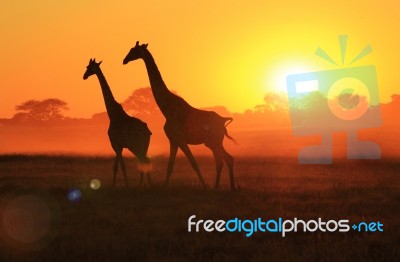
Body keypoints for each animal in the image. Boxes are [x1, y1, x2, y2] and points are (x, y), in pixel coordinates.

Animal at [83, 58, 152, 187]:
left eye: (89, 67)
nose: (84, 76)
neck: (113, 115)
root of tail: (147, 131)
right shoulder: (117, 145)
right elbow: (115, 166)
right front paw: (115, 185)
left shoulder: (116, 144)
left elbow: (121, 166)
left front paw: (125, 185)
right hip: (142, 145)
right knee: (145, 161)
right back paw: (145, 184)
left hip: (136, 145)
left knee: (144, 160)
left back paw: (145, 185)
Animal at [122, 41, 234, 189]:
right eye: (130, 50)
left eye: (134, 51)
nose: (124, 60)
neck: (167, 109)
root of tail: (223, 120)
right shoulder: (173, 140)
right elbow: (170, 166)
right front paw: (164, 187)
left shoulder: (180, 139)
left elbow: (194, 164)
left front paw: (204, 186)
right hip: (213, 142)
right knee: (226, 160)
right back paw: (227, 188)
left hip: (213, 141)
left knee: (224, 160)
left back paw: (223, 187)